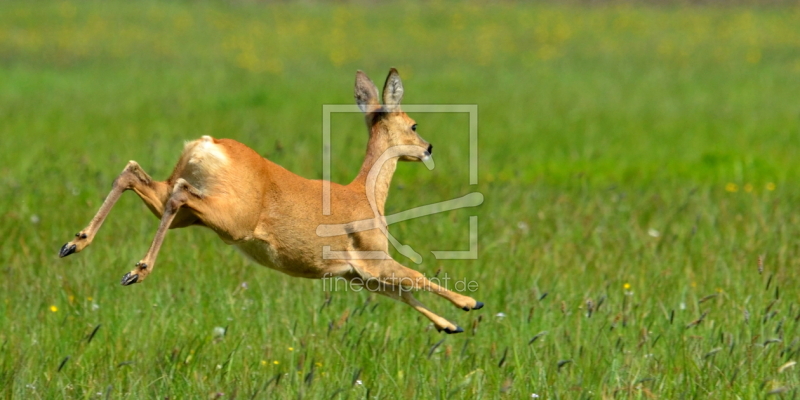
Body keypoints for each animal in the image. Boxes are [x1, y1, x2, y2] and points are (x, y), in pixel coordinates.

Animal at [59, 69, 484, 334]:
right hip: (229, 219)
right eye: (413, 123)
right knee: (176, 191)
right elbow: (418, 277)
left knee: (134, 173)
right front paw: (470, 304)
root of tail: (205, 145)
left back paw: (74, 244)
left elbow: (403, 293)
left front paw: (451, 326)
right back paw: (136, 270)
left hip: (186, 210)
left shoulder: (356, 275)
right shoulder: (373, 259)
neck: (364, 195)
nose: (428, 147)